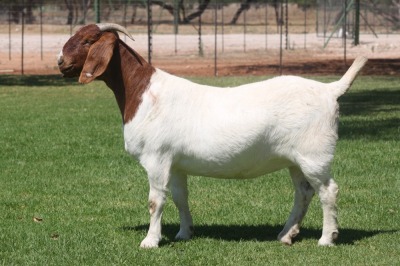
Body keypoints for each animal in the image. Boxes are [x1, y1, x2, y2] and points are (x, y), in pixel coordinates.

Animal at [57, 23, 368, 248]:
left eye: (88, 41)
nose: (60, 61)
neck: (142, 92)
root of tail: (330, 90)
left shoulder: (156, 158)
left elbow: (155, 200)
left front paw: (150, 241)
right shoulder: (175, 163)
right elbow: (180, 197)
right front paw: (184, 233)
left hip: (314, 154)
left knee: (328, 190)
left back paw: (326, 239)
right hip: (295, 159)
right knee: (304, 192)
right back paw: (286, 235)